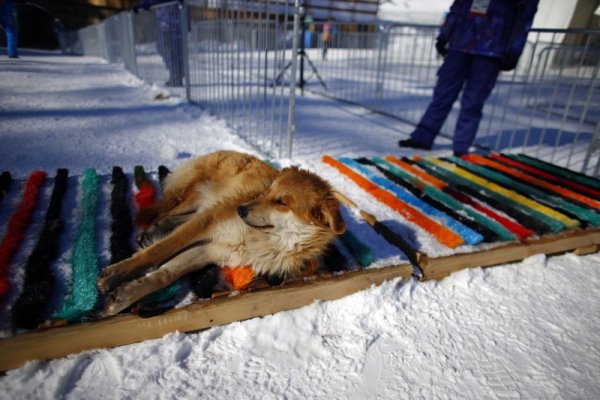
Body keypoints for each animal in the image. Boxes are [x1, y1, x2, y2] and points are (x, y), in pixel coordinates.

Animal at [96, 150, 344, 316]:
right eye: (267, 191)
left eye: (282, 202)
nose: (240, 209)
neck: (260, 239)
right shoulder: (207, 223)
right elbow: (158, 252)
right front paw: (115, 274)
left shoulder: (210, 251)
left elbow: (164, 275)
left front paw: (123, 296)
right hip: (200, 197)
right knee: (168, 212)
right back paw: (153, 231)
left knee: (175, 216)